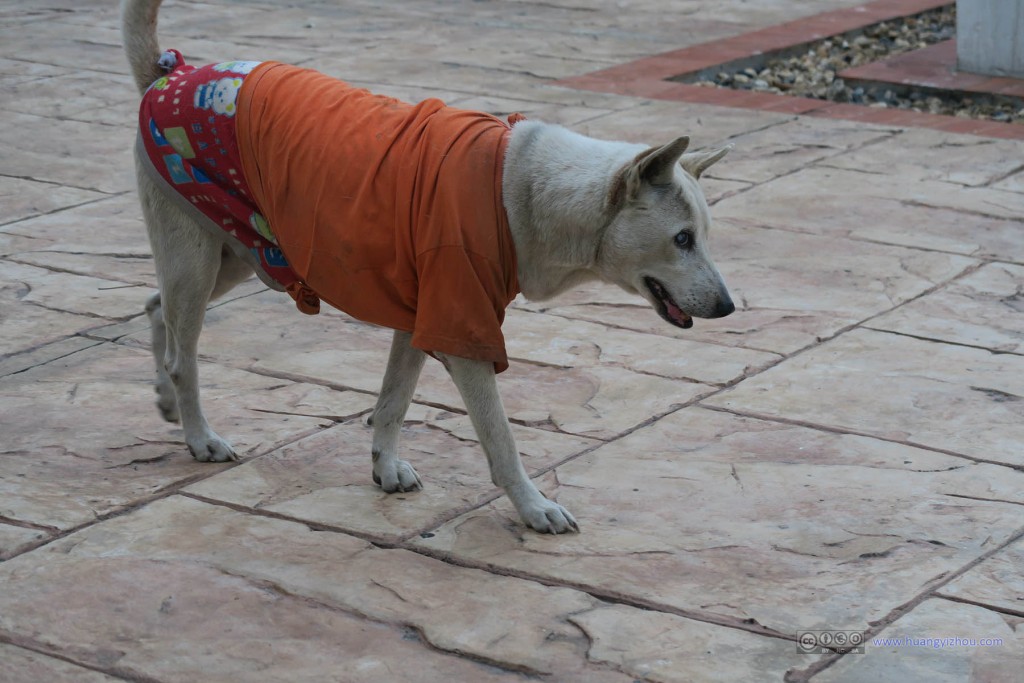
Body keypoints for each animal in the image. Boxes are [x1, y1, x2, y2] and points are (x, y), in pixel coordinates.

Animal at [121, 0, 737, 532]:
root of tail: (168, 75)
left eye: (704, 236)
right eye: (682, 239)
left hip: (235, 254)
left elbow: (393, 402)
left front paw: (384, 468)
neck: (521, 189)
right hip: (200, 257)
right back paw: (199, 434)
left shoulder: (421, 318)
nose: (730, 307)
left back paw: (164, 400)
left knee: (155, 307)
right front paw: (534, 507)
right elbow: (500, 438)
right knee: (182, 355)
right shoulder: (464, 331)